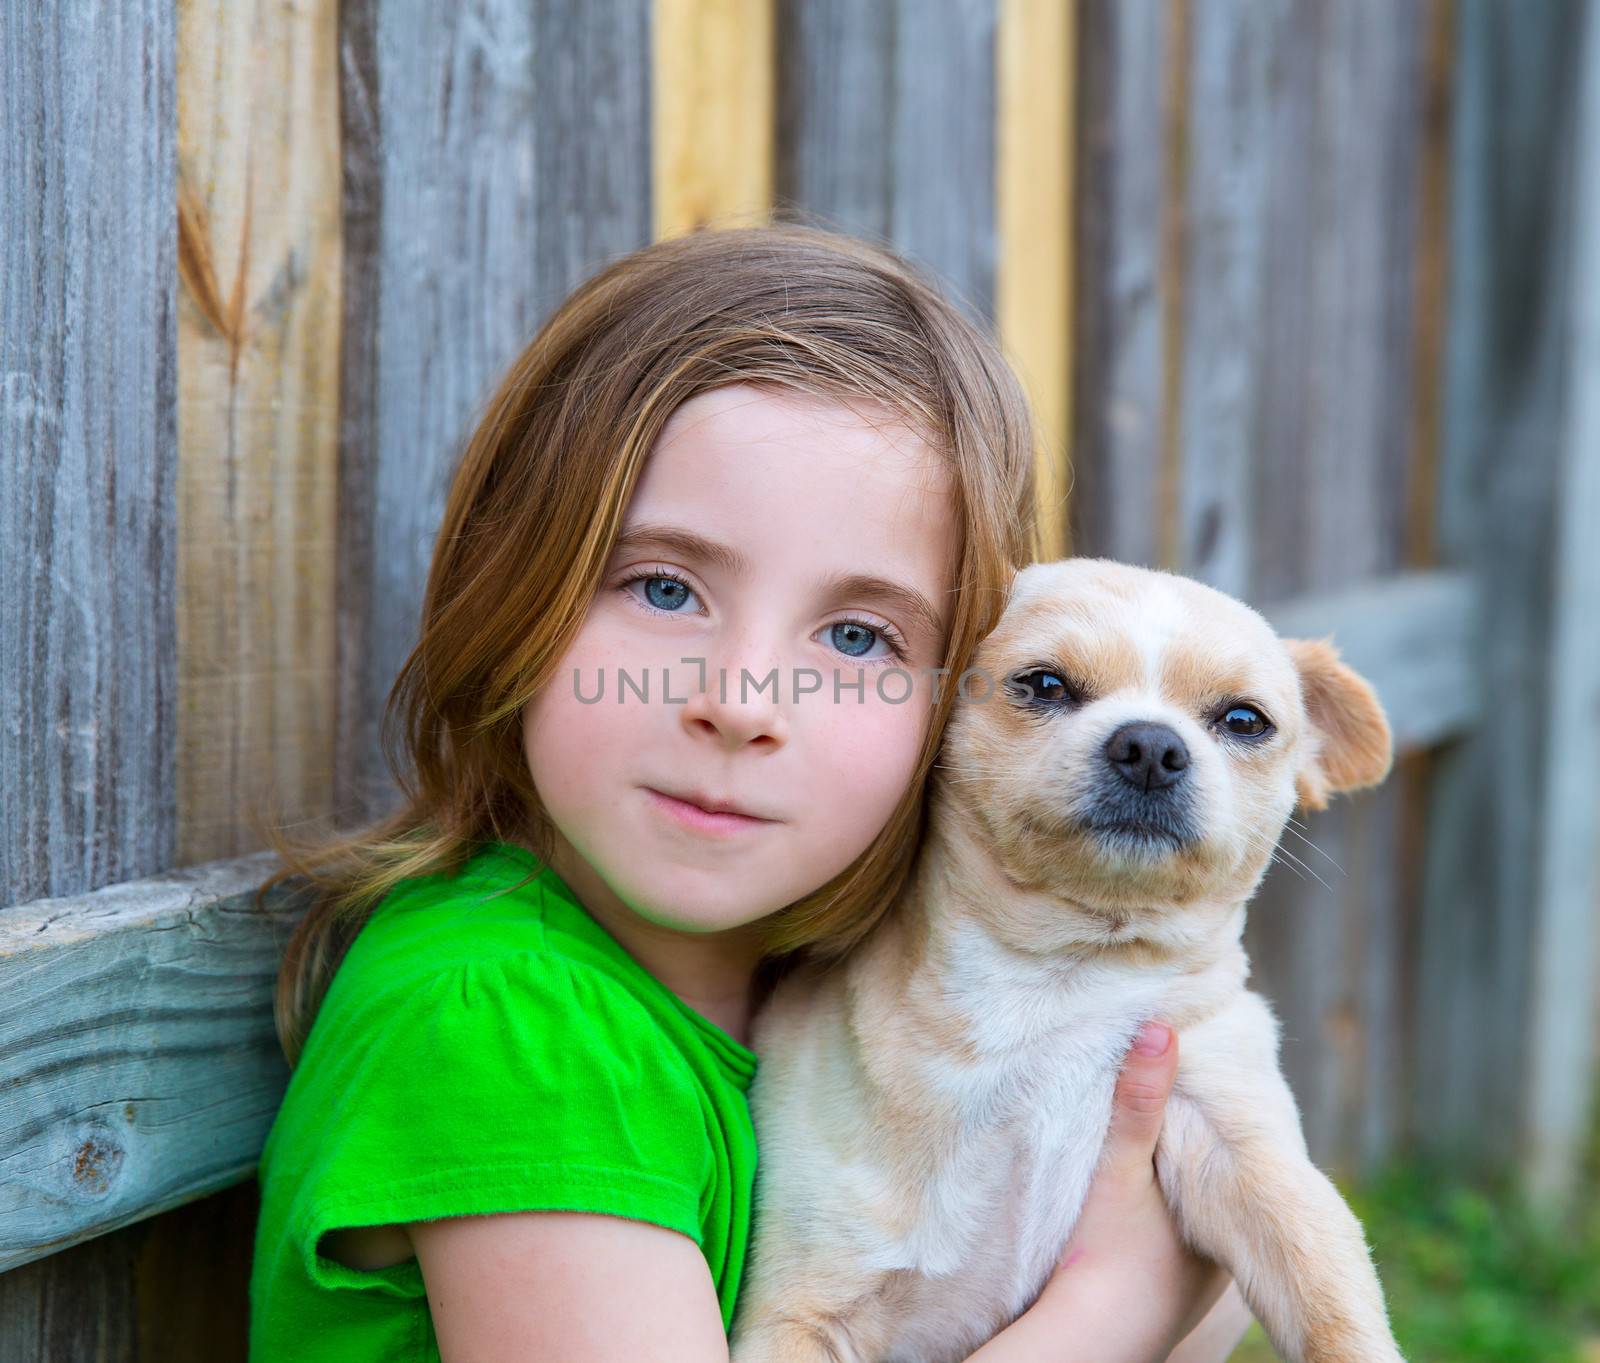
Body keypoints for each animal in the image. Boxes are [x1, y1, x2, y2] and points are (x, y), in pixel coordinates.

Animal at [732, 556, 1408, 1363]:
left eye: (1244, 720)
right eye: (1046, 684)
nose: (1151, 746)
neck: (1064, 984)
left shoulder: (1246, 1146)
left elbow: (1329, 1300)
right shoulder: (799, 1315)